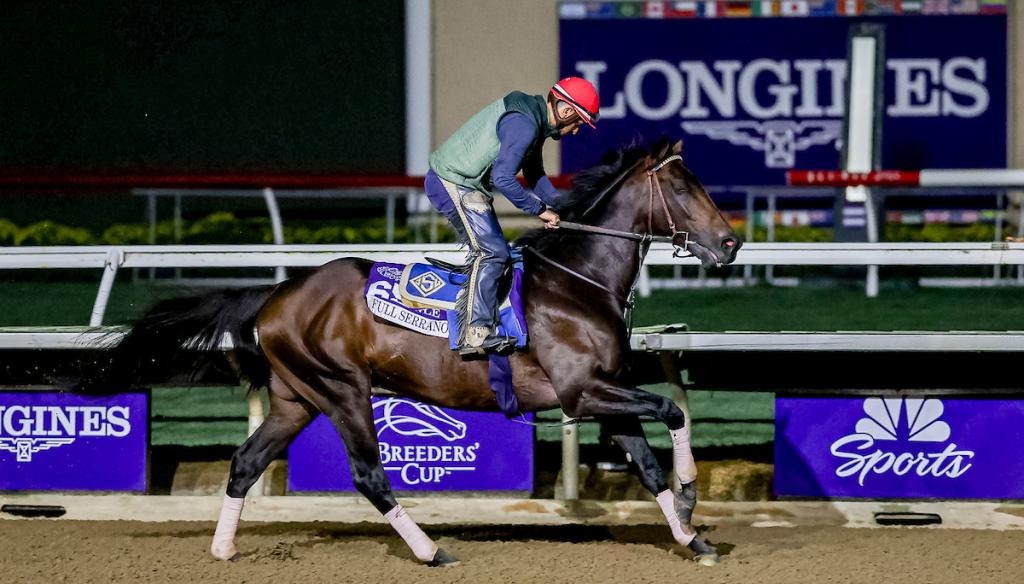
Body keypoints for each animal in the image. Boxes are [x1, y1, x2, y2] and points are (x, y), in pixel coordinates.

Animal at [84, 137, 741, 567]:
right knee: (369, 475)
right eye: (682, 186)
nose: (730, 243)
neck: (577, 281)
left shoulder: (602, 392)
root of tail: (278, 293)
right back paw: (430, 551)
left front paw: (692, 538)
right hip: (342, 389)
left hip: (296, 398)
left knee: (246, 462)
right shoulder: (583, 391)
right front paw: (691, 491)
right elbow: (672, 410)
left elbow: (647, 461)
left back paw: (223, 549)